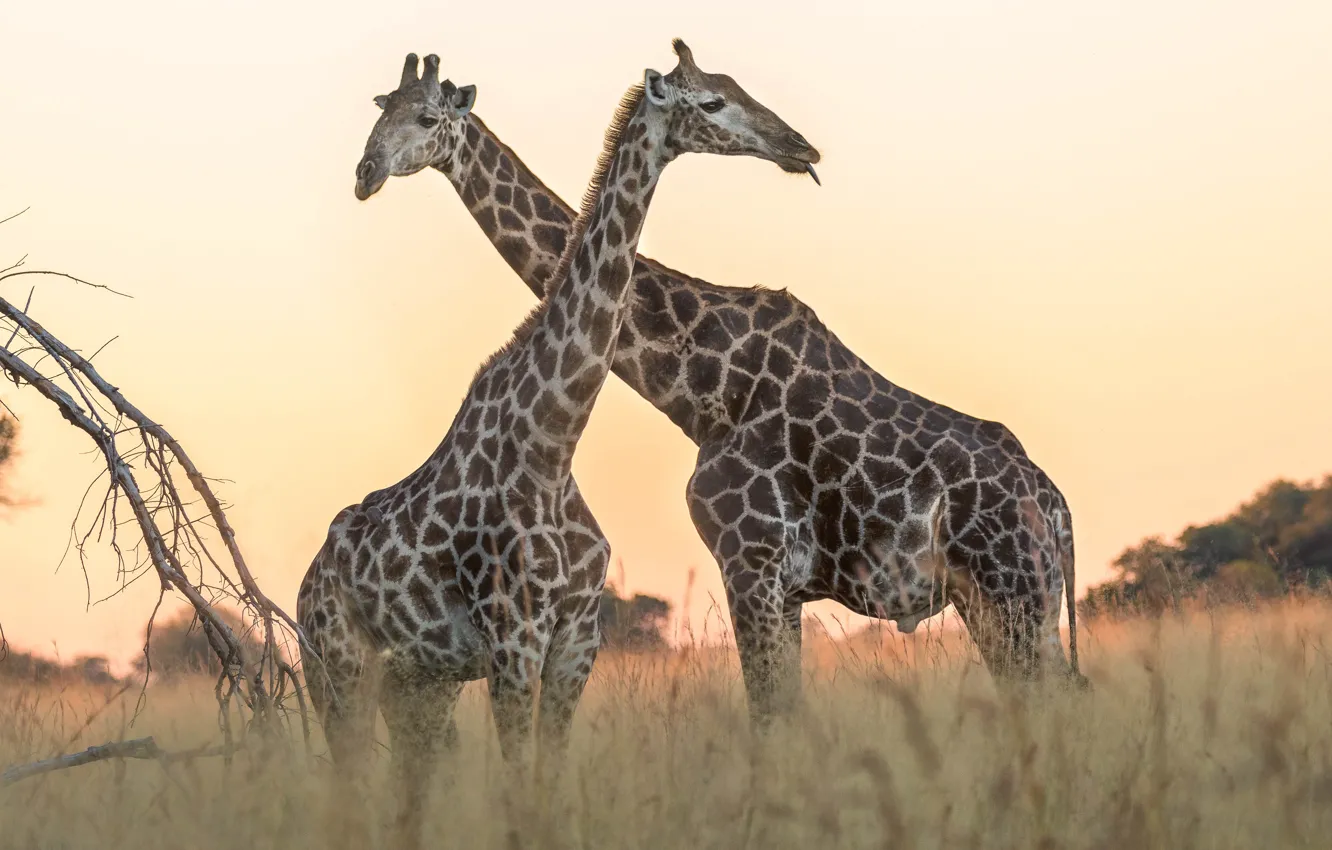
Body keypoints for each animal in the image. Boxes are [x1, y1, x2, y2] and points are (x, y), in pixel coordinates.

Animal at [302, 42, 819, 845]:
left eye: (427, 116)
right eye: (710, 103)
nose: (798, 146)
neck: (552, 440)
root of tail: (305, 586)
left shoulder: (575, 641)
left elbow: (546, 782)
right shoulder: (514, 639)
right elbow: (519, 787)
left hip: (416, 683)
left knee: (402, 792)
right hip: (337, 668)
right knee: (350, 787)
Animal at [354, 43, 1088, 732]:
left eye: (426, 117)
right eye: (381, 109)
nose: (366, 173)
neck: (700, 384)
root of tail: (1056, 509)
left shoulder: (750, 558)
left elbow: (770, 714)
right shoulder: (777, 584)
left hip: (1010, 592)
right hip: (1010, 600)